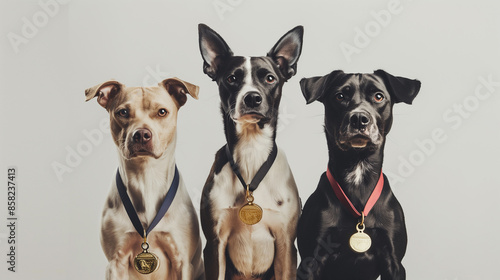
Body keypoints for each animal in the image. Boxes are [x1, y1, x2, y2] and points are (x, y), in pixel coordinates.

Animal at [85, 77, 204, 280]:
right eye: (123, 112)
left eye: (162, 112)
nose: (141, 134)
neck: (147, 178)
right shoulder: (116, 262)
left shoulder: (182, 261)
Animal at [197, 24, 302, 280]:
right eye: (232, 78)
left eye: (270, 78)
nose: (252, 97)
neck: (251, 151)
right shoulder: (214, 244)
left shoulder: (286, 245)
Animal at [296, 69, 422, 278]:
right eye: (340, 96)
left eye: (378, 96)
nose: (359, 118)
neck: (358, 169)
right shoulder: (310, 261)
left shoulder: (394, 262)